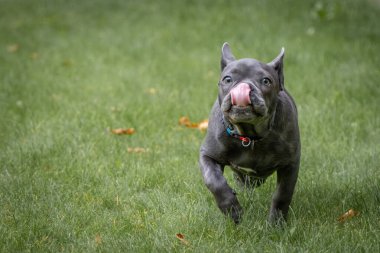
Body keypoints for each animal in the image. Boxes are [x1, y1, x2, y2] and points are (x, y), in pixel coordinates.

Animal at [199, 42, 300, 224]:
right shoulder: (207, 155)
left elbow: (283, 194)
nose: (244, 87)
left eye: (266, 81)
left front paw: (276, 223)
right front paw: (233, 211)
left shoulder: (290, 164)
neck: (248, 136)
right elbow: (214, 181)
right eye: (227, 79)